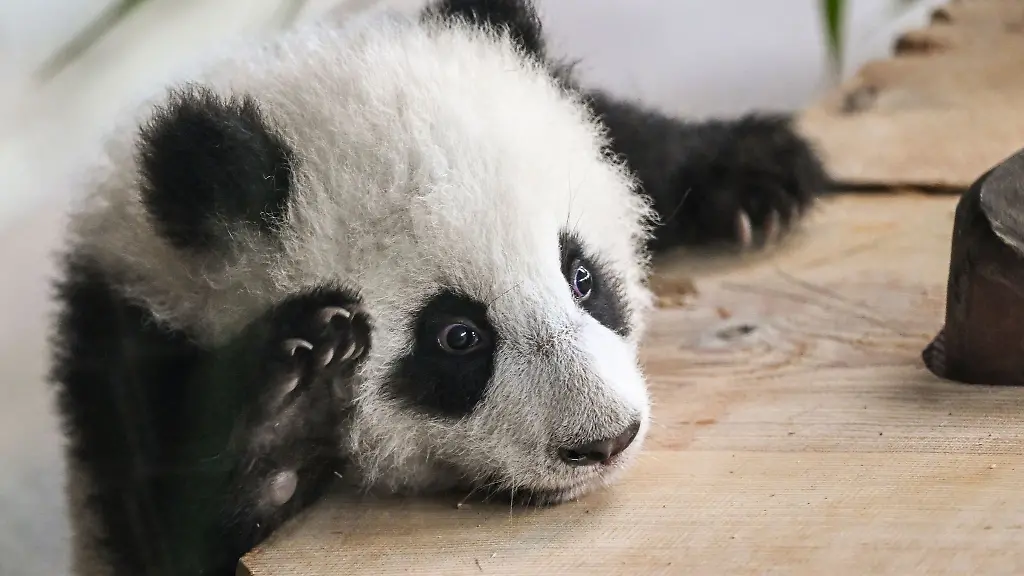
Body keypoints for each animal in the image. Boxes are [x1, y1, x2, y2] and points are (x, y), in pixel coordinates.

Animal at [49, 0, 827, 574]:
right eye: (457, 336)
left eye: (582, 277)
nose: (606, 440)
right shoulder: (131, 369)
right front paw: (284, 423)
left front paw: (753, 176)